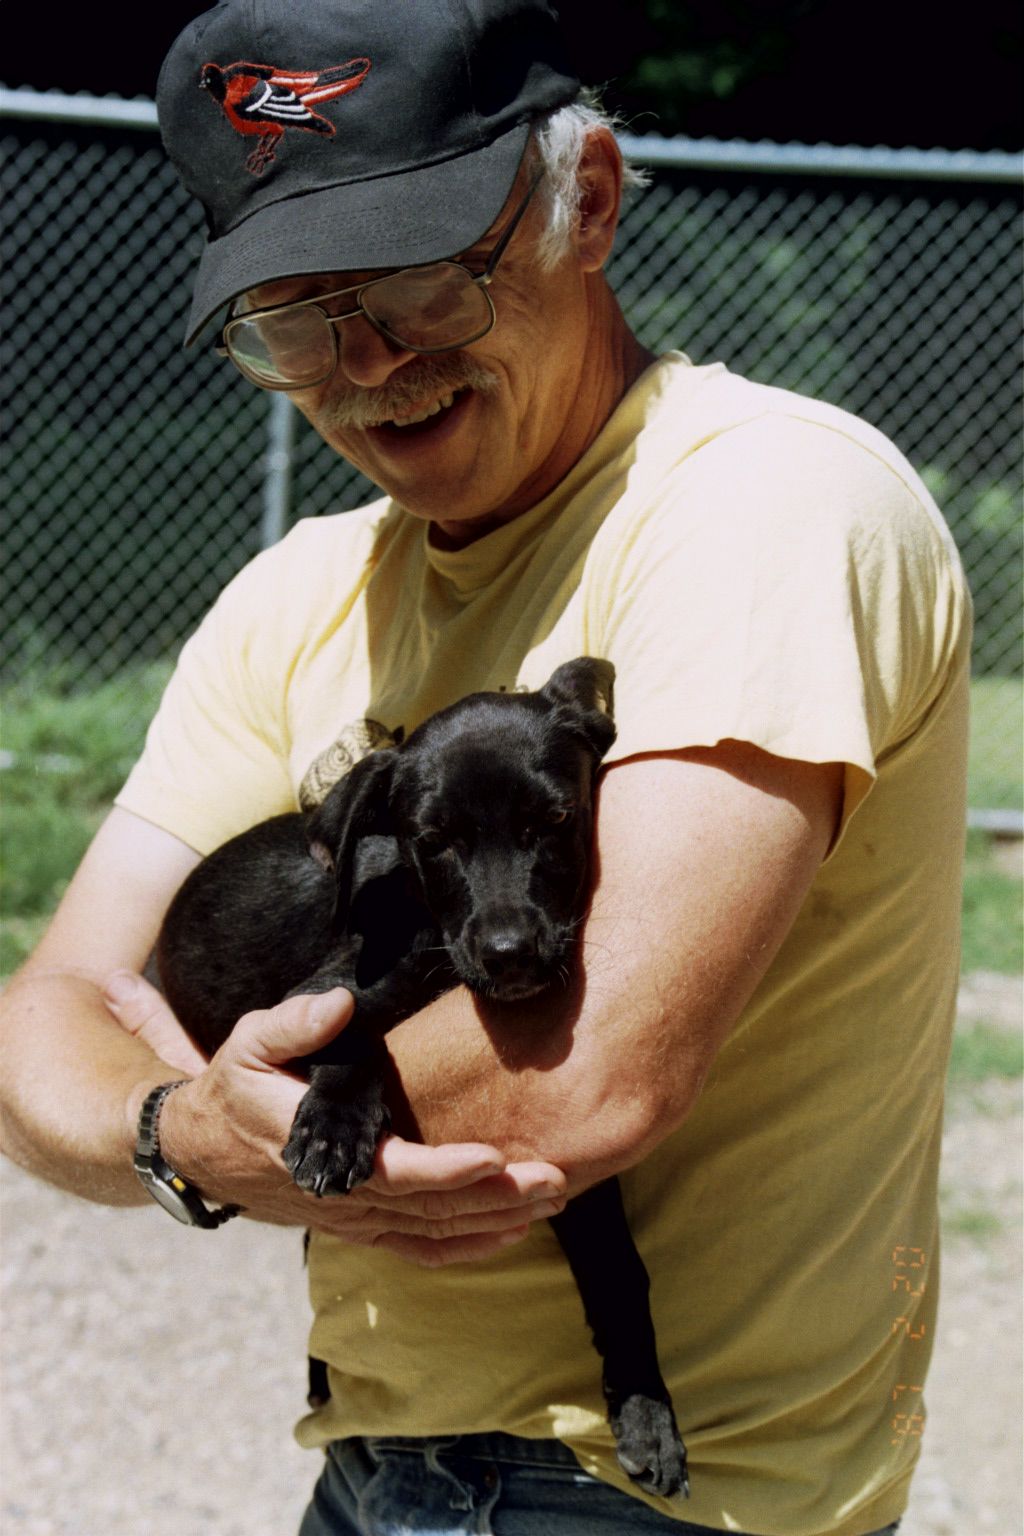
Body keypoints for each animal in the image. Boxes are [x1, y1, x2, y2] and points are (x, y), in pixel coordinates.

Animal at [158, 654, 687, 1492]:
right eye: (434, 840)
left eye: (554, 821)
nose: (510, 954)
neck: (427, 929)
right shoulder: (300, 1006)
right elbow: (352, 1024)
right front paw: (336, 1126)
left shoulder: (581, 1174)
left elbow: (617, 1271)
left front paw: (645, 1413)